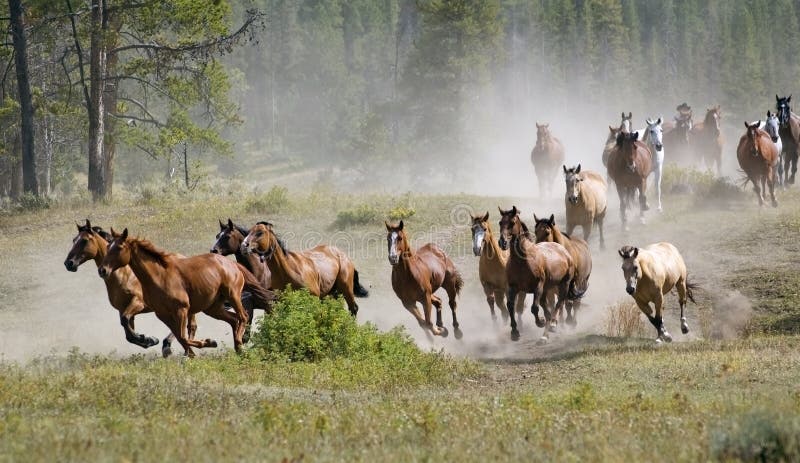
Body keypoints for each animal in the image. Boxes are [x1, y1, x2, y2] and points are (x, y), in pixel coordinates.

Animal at [63, 219, 180, 358]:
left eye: (84, 240)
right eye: (74, 240)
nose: (68, 263)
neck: (123, 276)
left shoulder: (138, 302)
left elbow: (125, 321)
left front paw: (148, 339)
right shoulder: (123, 309)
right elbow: (128, 333)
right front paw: (147, 339)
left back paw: (167, 345)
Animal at [97, 230, 270, 358]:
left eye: (119, 247)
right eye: (108, 246)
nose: (102, 270)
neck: (159, 277)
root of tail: (232, 264)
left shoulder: (181, 310)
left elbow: (183, 336)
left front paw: (208, 343)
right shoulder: (163, 314)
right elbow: (181, 337)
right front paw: (194, 352)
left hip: (232, 296)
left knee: (243, 317)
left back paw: (240, 343)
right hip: (212, 308)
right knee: (234, 320)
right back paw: (238, 348)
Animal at [239, 221, 368, 316]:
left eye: (259, 232)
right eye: (249, 231)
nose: (243, 246)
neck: (287, 271)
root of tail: (342, 254)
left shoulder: (314, 298)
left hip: (346, 288)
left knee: (353, 309)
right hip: (330, 294)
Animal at [494, 208, 576, 342]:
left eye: (512, 222)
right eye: (500, 222)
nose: (502, 242)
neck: (523, 261)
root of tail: (563, 250)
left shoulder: (538, 286)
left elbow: (534, 308)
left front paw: (540, 322)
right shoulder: (512, 287)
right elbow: (510, 306)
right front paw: (514, 332)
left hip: (563, 284)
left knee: (559, 302)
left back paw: (553, 324)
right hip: (546, 289)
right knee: (548, 309)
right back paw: (544, 336)